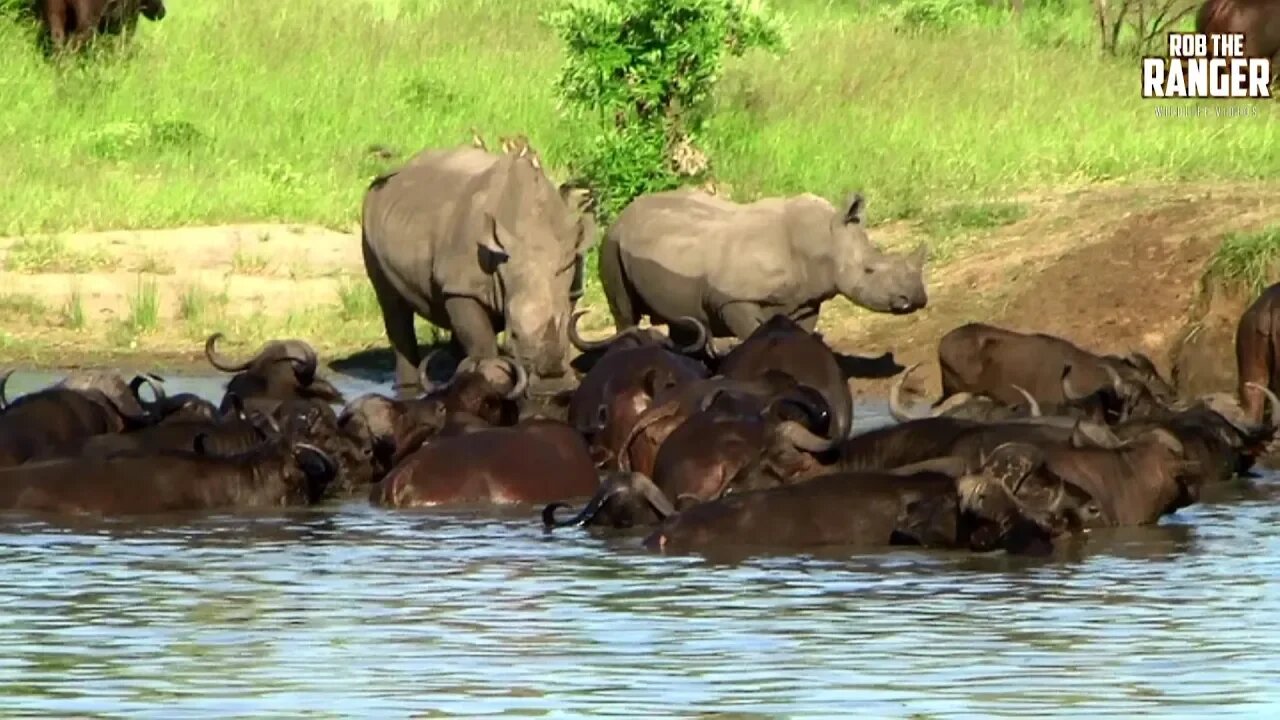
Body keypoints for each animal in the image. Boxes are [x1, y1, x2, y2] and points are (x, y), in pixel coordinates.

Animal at [360, 139, 593, 392]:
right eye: (513, 335)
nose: (552, 383)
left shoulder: (568, 278)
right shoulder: (463, 285)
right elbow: (481, 343)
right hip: (371, 215)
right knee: (392, 305)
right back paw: (408, 388)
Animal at [599, 188, 931, 338]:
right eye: (868, 270)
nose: (916, 298)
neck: (823, 242)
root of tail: (625, 213)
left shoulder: (805, 300)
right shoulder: (731, 298)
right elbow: (751, 334)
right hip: (611, 243)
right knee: (624, 312)